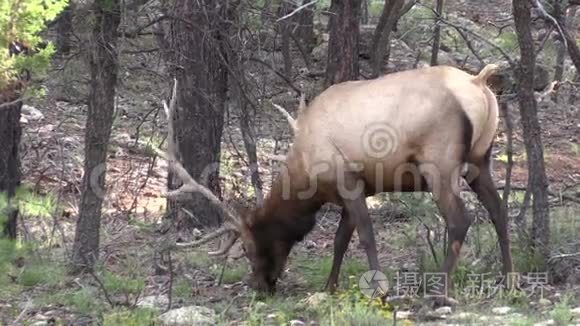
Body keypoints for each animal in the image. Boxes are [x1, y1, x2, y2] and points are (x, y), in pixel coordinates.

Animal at [159, 63, 512, 300]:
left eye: (247, 247)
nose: (258, 286)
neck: (307, 176)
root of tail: (478, 83)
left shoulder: (348, 180)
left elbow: (365, 235)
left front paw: (379, 288)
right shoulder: (356, 189)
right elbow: (342, 238)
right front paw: (329, 286)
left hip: (439, 162)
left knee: (460, 219)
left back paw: (440, 292)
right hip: (480, 160)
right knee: (499, 211)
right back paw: (508, 279)